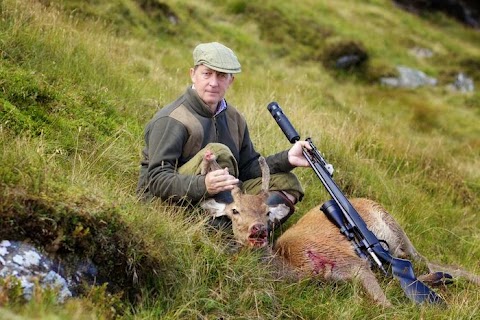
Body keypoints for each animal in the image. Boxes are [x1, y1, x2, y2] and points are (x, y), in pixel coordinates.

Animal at [200, 149, 480, 306]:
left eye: (267, 212)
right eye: (235, 211)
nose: (257, 229)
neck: (297, 265)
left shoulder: (353, 263)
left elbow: (385, 305)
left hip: (396, 229)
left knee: (427, 262)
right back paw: (441, 280)